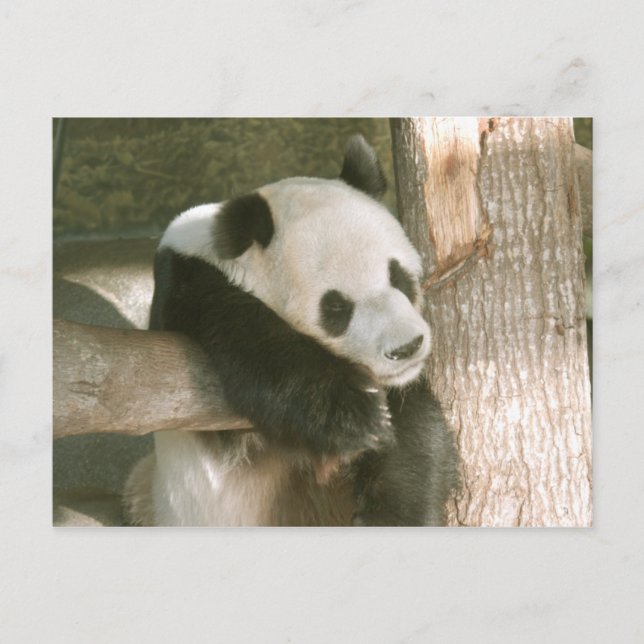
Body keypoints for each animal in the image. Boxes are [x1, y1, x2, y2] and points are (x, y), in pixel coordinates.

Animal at [124, 135, 459, 527]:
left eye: (398, 276)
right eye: (336, 307)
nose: (406, 347)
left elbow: (413, 432)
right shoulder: (193, 289)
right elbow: (257, 345)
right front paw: (355, 413)